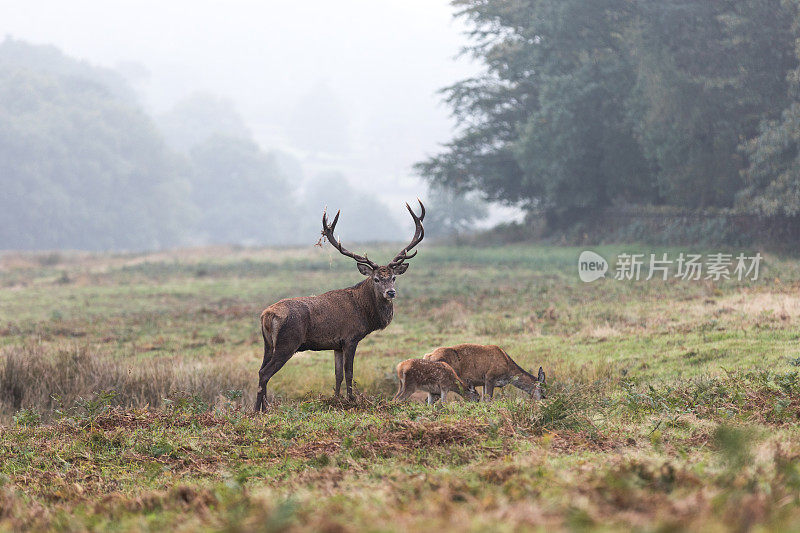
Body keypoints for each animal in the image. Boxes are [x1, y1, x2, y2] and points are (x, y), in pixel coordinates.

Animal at [255, 200, 428, 412]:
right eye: (376, 279)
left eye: (394, 277)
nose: (391, 293)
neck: (364, 313)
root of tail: (266, 315)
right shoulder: (350, 338)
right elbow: (349, 372)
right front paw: (351, 400)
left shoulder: (336, 345)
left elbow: (337, 374)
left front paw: (336, 400)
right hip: (287, 342)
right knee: (265, 373)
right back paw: (263, 410)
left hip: (267, 344)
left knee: (260, 370)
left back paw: (257, 409)